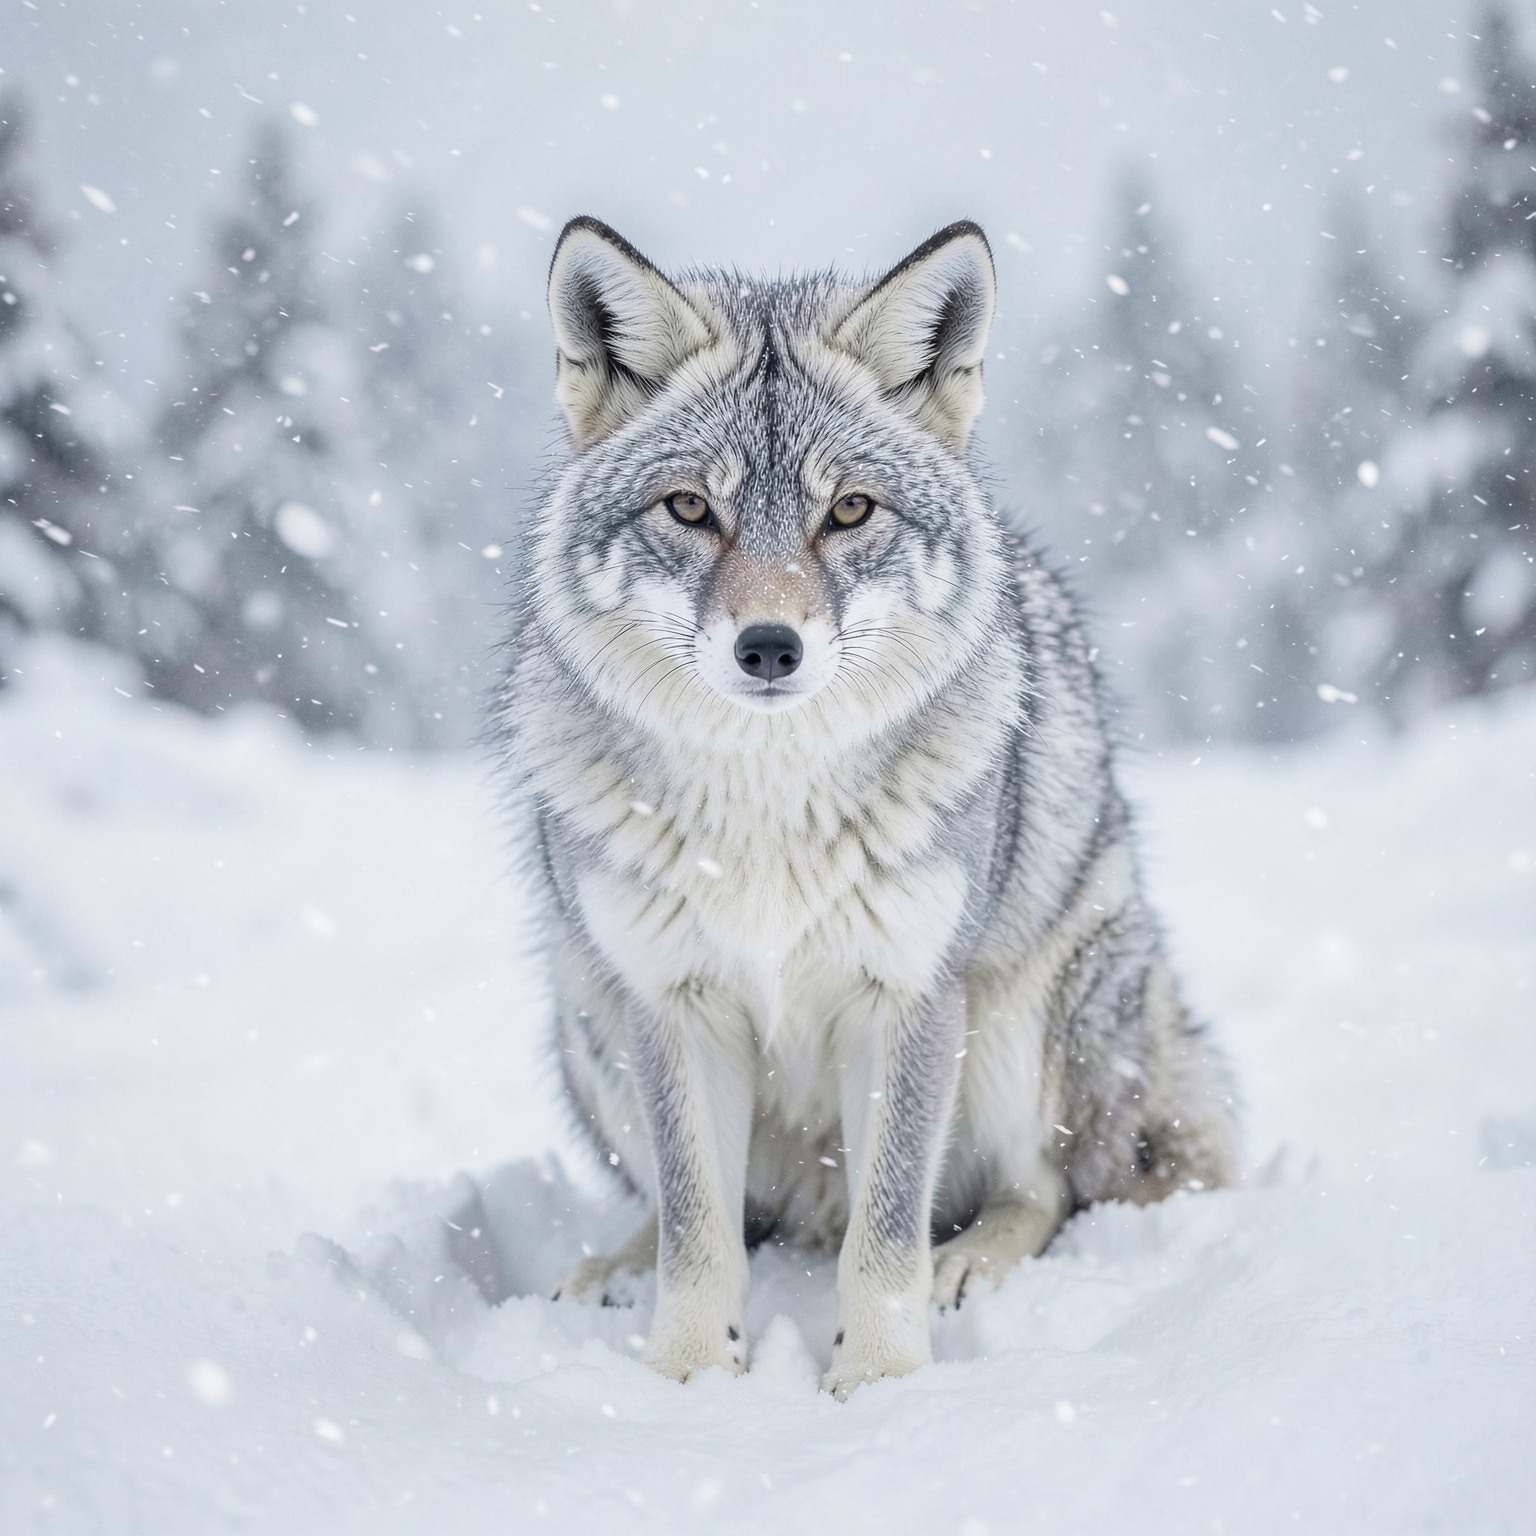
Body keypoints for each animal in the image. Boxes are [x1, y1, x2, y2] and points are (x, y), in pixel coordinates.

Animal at [494, 216, 1239, 1397]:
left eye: (847, 511)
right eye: (691, 508)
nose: (769, 646)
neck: (766, 814)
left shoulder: (909, 994)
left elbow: (887, 1231)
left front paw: (885, 1385)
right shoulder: (672, 1002)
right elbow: (697, 1229)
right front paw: (686, 1377)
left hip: (1021, 1017)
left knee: (1040, 1192)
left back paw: (969, 1264)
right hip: (585, 1013)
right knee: (719, 1215)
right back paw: (614, 1267)